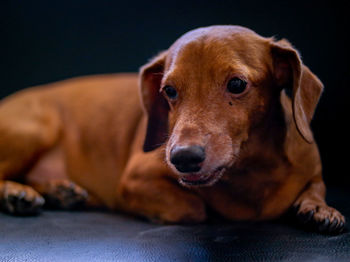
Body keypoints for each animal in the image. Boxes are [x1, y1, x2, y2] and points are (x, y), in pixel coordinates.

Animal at [0, 25, 344, 233]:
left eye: (237, 84)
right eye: (169, 90)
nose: (183, 158)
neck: (251, 170)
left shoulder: (312, 171)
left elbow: (316, 187)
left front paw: (318, 208)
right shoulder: (136, 179)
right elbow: (195, 209)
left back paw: (59, 191)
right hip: (36, 130)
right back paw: (17, 194)